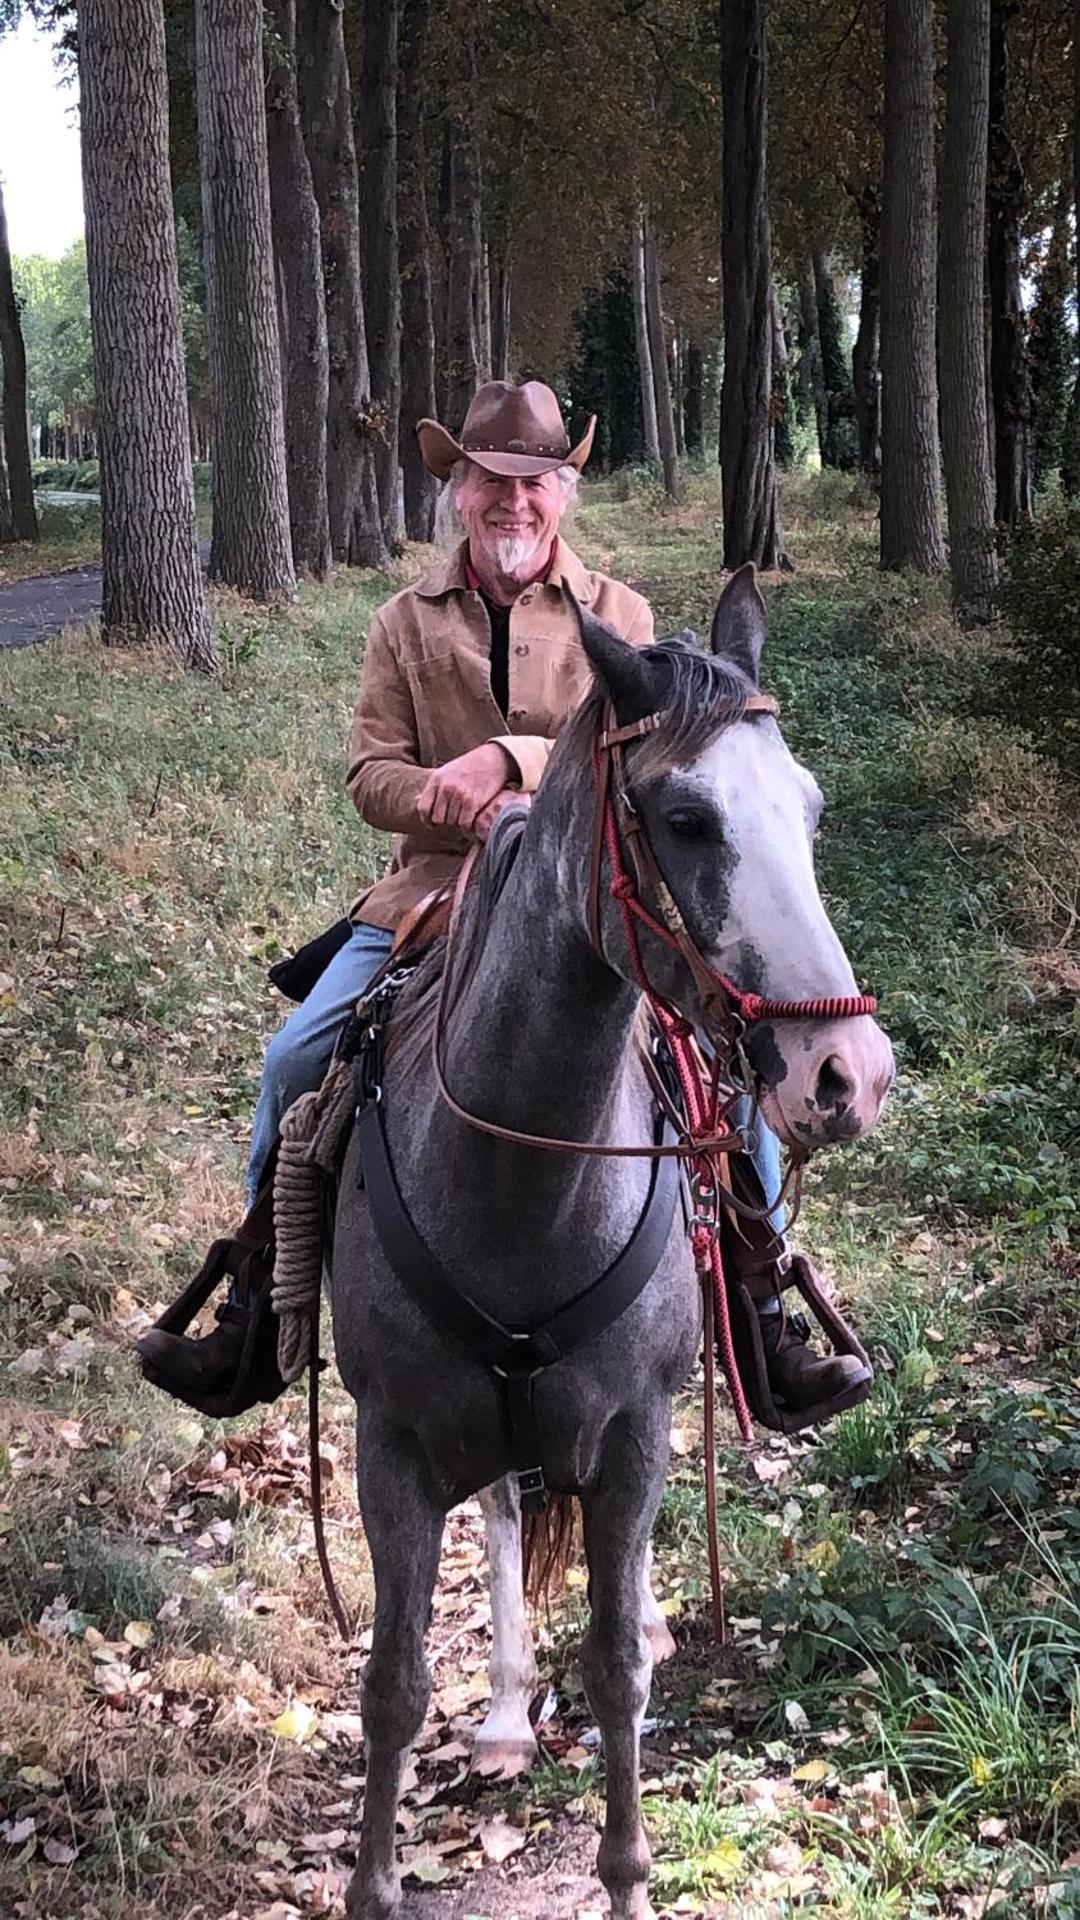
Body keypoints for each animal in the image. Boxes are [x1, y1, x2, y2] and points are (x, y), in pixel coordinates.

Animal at [330, 566, 895, 1919]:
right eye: (685, 818)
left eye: (810, 810)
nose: (850, 1072)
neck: (521, 1174)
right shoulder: (393, 1447)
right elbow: (393, 1684)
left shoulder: (635, 1428)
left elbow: (616, 1674)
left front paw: (630, 1873)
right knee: (502, 1514)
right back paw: (499, 1719)